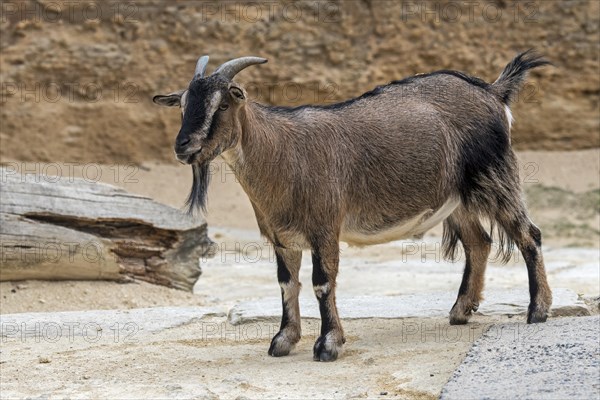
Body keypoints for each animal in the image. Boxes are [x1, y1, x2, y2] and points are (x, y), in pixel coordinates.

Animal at [154, 51, 552, 360]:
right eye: (184, 106)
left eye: (223, 104)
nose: (184, 146)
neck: (282, 154)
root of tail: (494, 91)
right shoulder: (281, 238)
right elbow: (286, 284)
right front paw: (283, 340)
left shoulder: (324, 229)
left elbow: (321, 283)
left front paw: (328, 344)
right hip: (458, 200)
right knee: (479, 243)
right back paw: (460, 311)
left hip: (495, 175)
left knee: (528, 235)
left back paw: (537, 310)